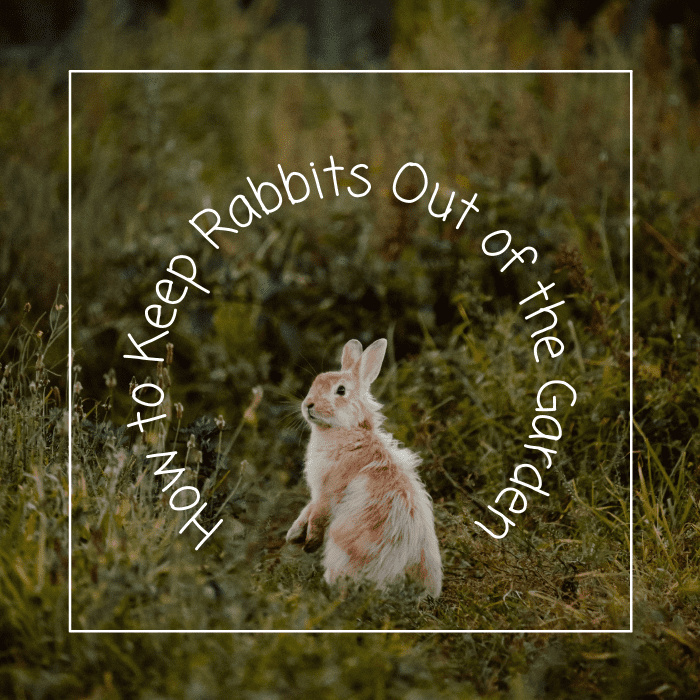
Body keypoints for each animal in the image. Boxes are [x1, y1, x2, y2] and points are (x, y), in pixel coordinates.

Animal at [285, 338, 442, 598]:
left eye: (340, 391)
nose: (308, 405)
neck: (348, 430)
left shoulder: (328, 491)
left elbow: (317, 515)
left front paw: (309, 543)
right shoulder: (317, 492)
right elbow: (307, 510)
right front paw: (293, 536)